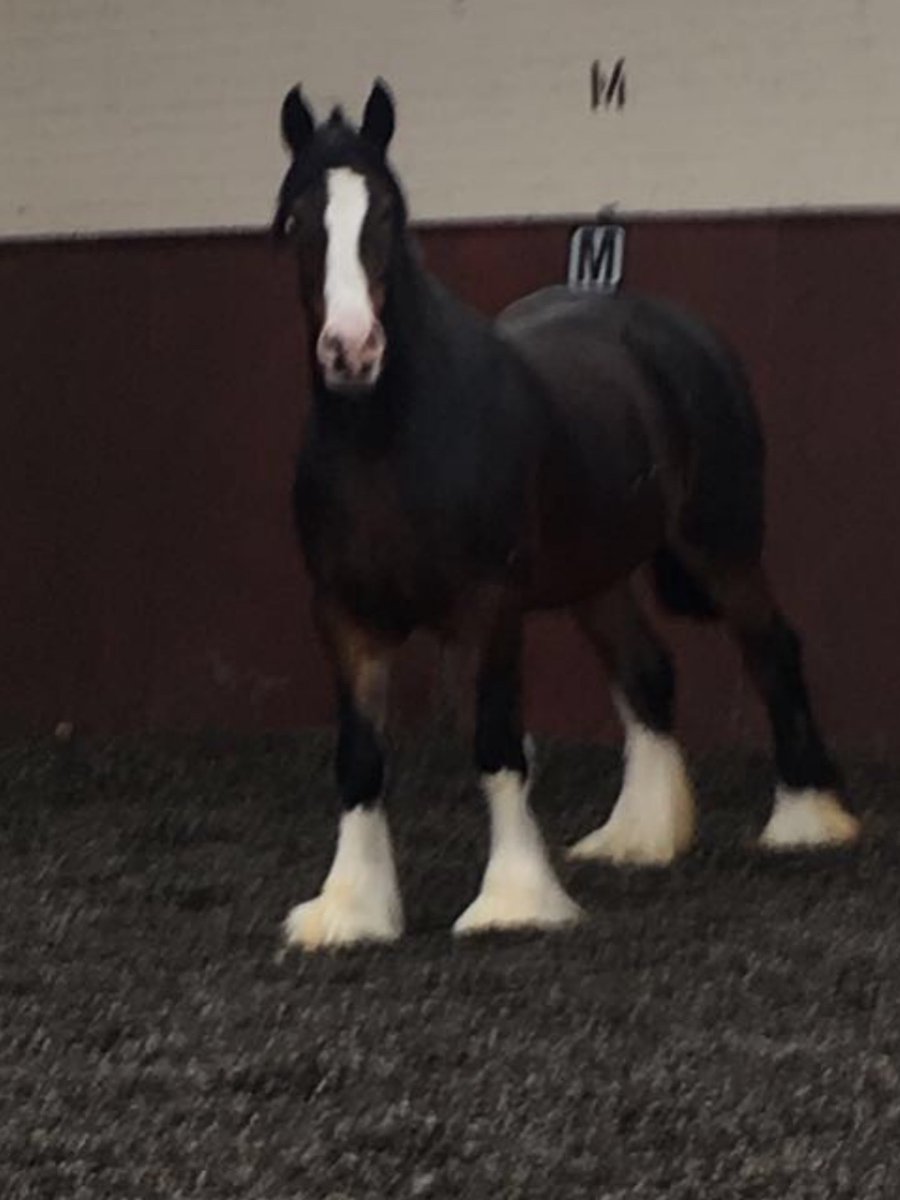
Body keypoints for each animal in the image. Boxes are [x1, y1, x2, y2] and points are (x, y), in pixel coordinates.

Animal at [272, 79, 859, 951]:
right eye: (296, 218)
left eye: (389, 213)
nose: (352, 351)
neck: (390, 440)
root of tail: (677, 329)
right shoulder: (345, 615)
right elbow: (359, 757)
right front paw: (351, 910)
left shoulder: (489, 607)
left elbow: (495, 742)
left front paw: (514, 901)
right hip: (596, 576)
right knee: (647, 672)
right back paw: (640, 835)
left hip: (720, 546)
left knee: (771, 648)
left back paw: (805, 818)